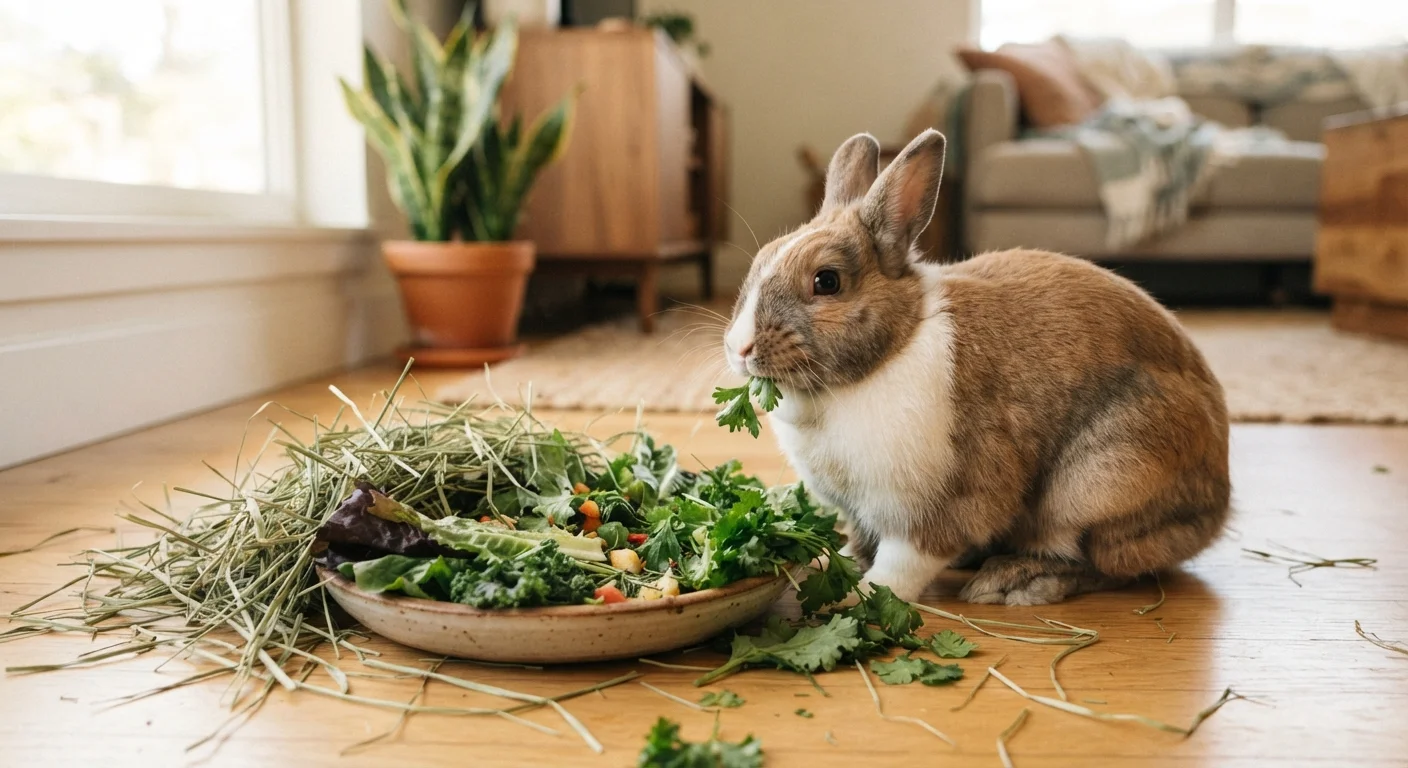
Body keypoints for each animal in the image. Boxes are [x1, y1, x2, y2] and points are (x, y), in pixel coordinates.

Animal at [722, 129, 1230, 605]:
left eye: (826, 281)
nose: (739, 348)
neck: (890, 352)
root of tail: (1217, 506)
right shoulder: (857, 511)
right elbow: (862, 544)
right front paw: (837, 564)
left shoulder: (938, 506)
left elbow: (902, 564)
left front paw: (859, 597)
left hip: (1098, 485)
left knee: (1103, 562)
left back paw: (1016, 581)